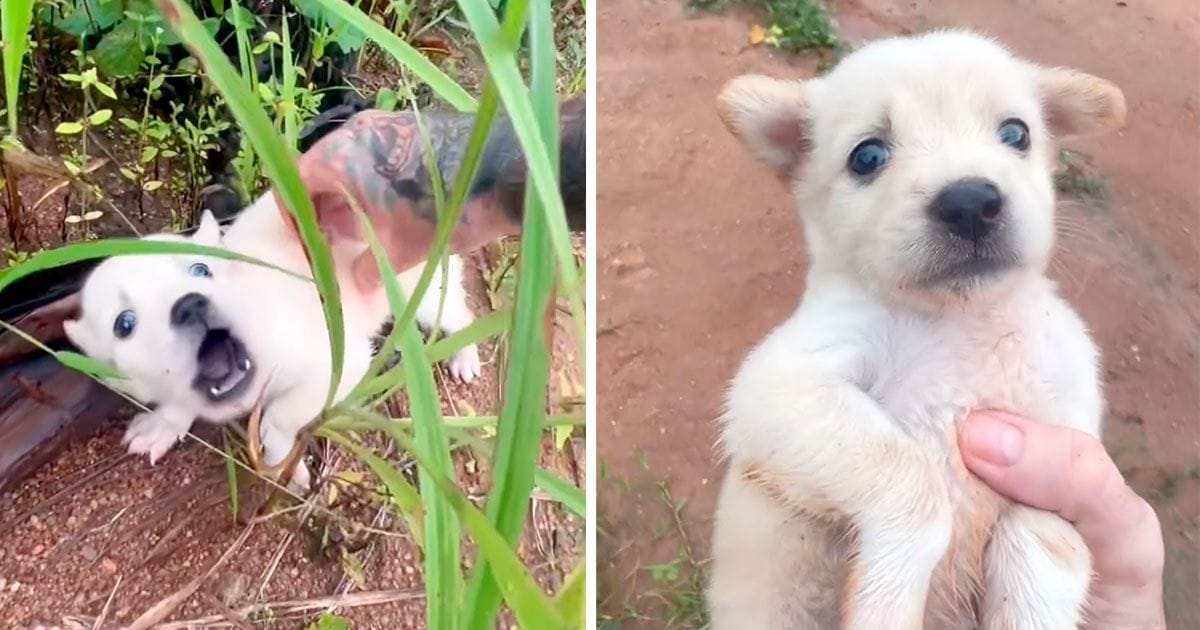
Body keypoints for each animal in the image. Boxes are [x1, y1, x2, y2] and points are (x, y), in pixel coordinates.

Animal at [65, 194, 482, 489]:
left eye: (201, 269)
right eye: (124, 324)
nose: (190, 305)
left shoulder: (340, 362)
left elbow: (281, 416)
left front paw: (280, 458)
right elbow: (179, 403)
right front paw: (162, 425)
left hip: (424, 290)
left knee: (459, 315)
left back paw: (465, 356)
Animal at [700, 30, 1123, 628]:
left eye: (1016, 133)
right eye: (868, 157)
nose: (970, 201)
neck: (962, 321)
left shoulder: (1061, 446)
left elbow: (1042, 550)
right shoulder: (779, 387)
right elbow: (913, 479)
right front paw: (885, 602)